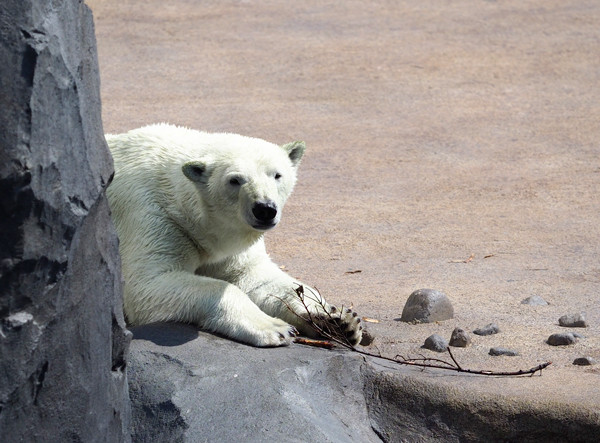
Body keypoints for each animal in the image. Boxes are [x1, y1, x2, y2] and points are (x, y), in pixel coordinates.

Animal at [105, 124, 364, 346]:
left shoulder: (233, 241)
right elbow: (148, 285)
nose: (264, 209)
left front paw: (340, 321)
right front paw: (275, 328)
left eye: (277, 175)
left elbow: (256, 276)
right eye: (235, 180)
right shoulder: (152, 214)